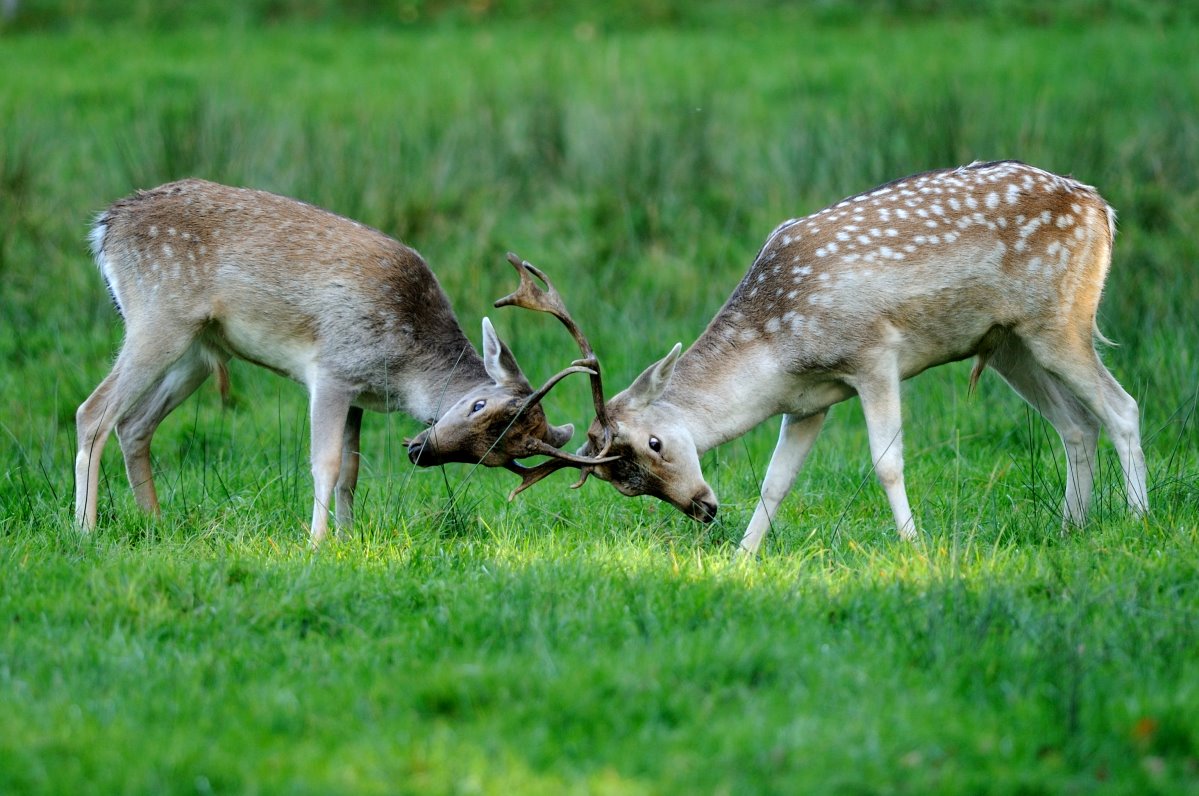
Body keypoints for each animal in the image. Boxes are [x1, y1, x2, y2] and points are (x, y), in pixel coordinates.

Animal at [75, 179, 615, 544]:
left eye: (498, 456)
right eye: (478, 406)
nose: (420, 451)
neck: (402, 369)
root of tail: (104, 228)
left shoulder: (359, 393)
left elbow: (352, 471)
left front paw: (347, 537)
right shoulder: (332, 369)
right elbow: (326, 461)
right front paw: (315, 543)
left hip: (200, 349)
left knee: (133, 425)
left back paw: (153, 523)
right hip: (159, 313)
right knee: (92, 412)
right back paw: (85, 530)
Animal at [506, 161, 1150, 555]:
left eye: (655, 443)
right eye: (625, 484)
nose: (704, 508)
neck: (779, 349)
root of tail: (1103, 208)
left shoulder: (874, 354)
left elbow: (887, 461)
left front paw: (914, 547)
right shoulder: (807, 402)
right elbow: (775, 481)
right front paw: (742, 559)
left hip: (1062, 320)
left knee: (1122, 407)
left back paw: (1139, 520)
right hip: (1008, 343)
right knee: (1077, 425)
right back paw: (1069, 528)